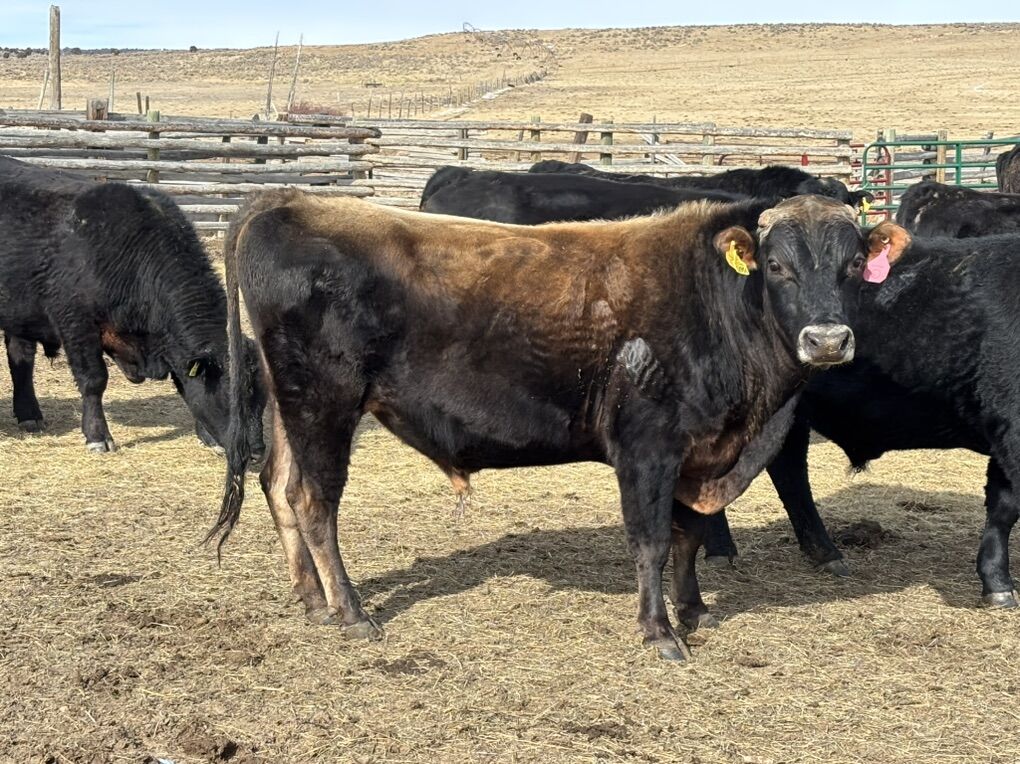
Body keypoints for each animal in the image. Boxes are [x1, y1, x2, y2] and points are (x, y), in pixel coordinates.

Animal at [0, 156, 266, 457]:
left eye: (263, 398)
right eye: (233, 398)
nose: (257, 451)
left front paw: (208, 436)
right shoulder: (76, 323)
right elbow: (94, 380)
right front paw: (98, 436)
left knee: (21, 359)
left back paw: (29, 415)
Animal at [211, 189, 905, 662]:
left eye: (851, 266)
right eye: (778, 266)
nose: (827, 339)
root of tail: (289, 199)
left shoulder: (700, 454)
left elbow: (688, 536)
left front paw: (695, 610)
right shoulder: (648, 449)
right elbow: (652, 541)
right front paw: (660, 633)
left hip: (288, 405)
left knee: (279, 487)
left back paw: (311, 600)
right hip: (324, 402)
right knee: (313, 501)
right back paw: (351, 612)